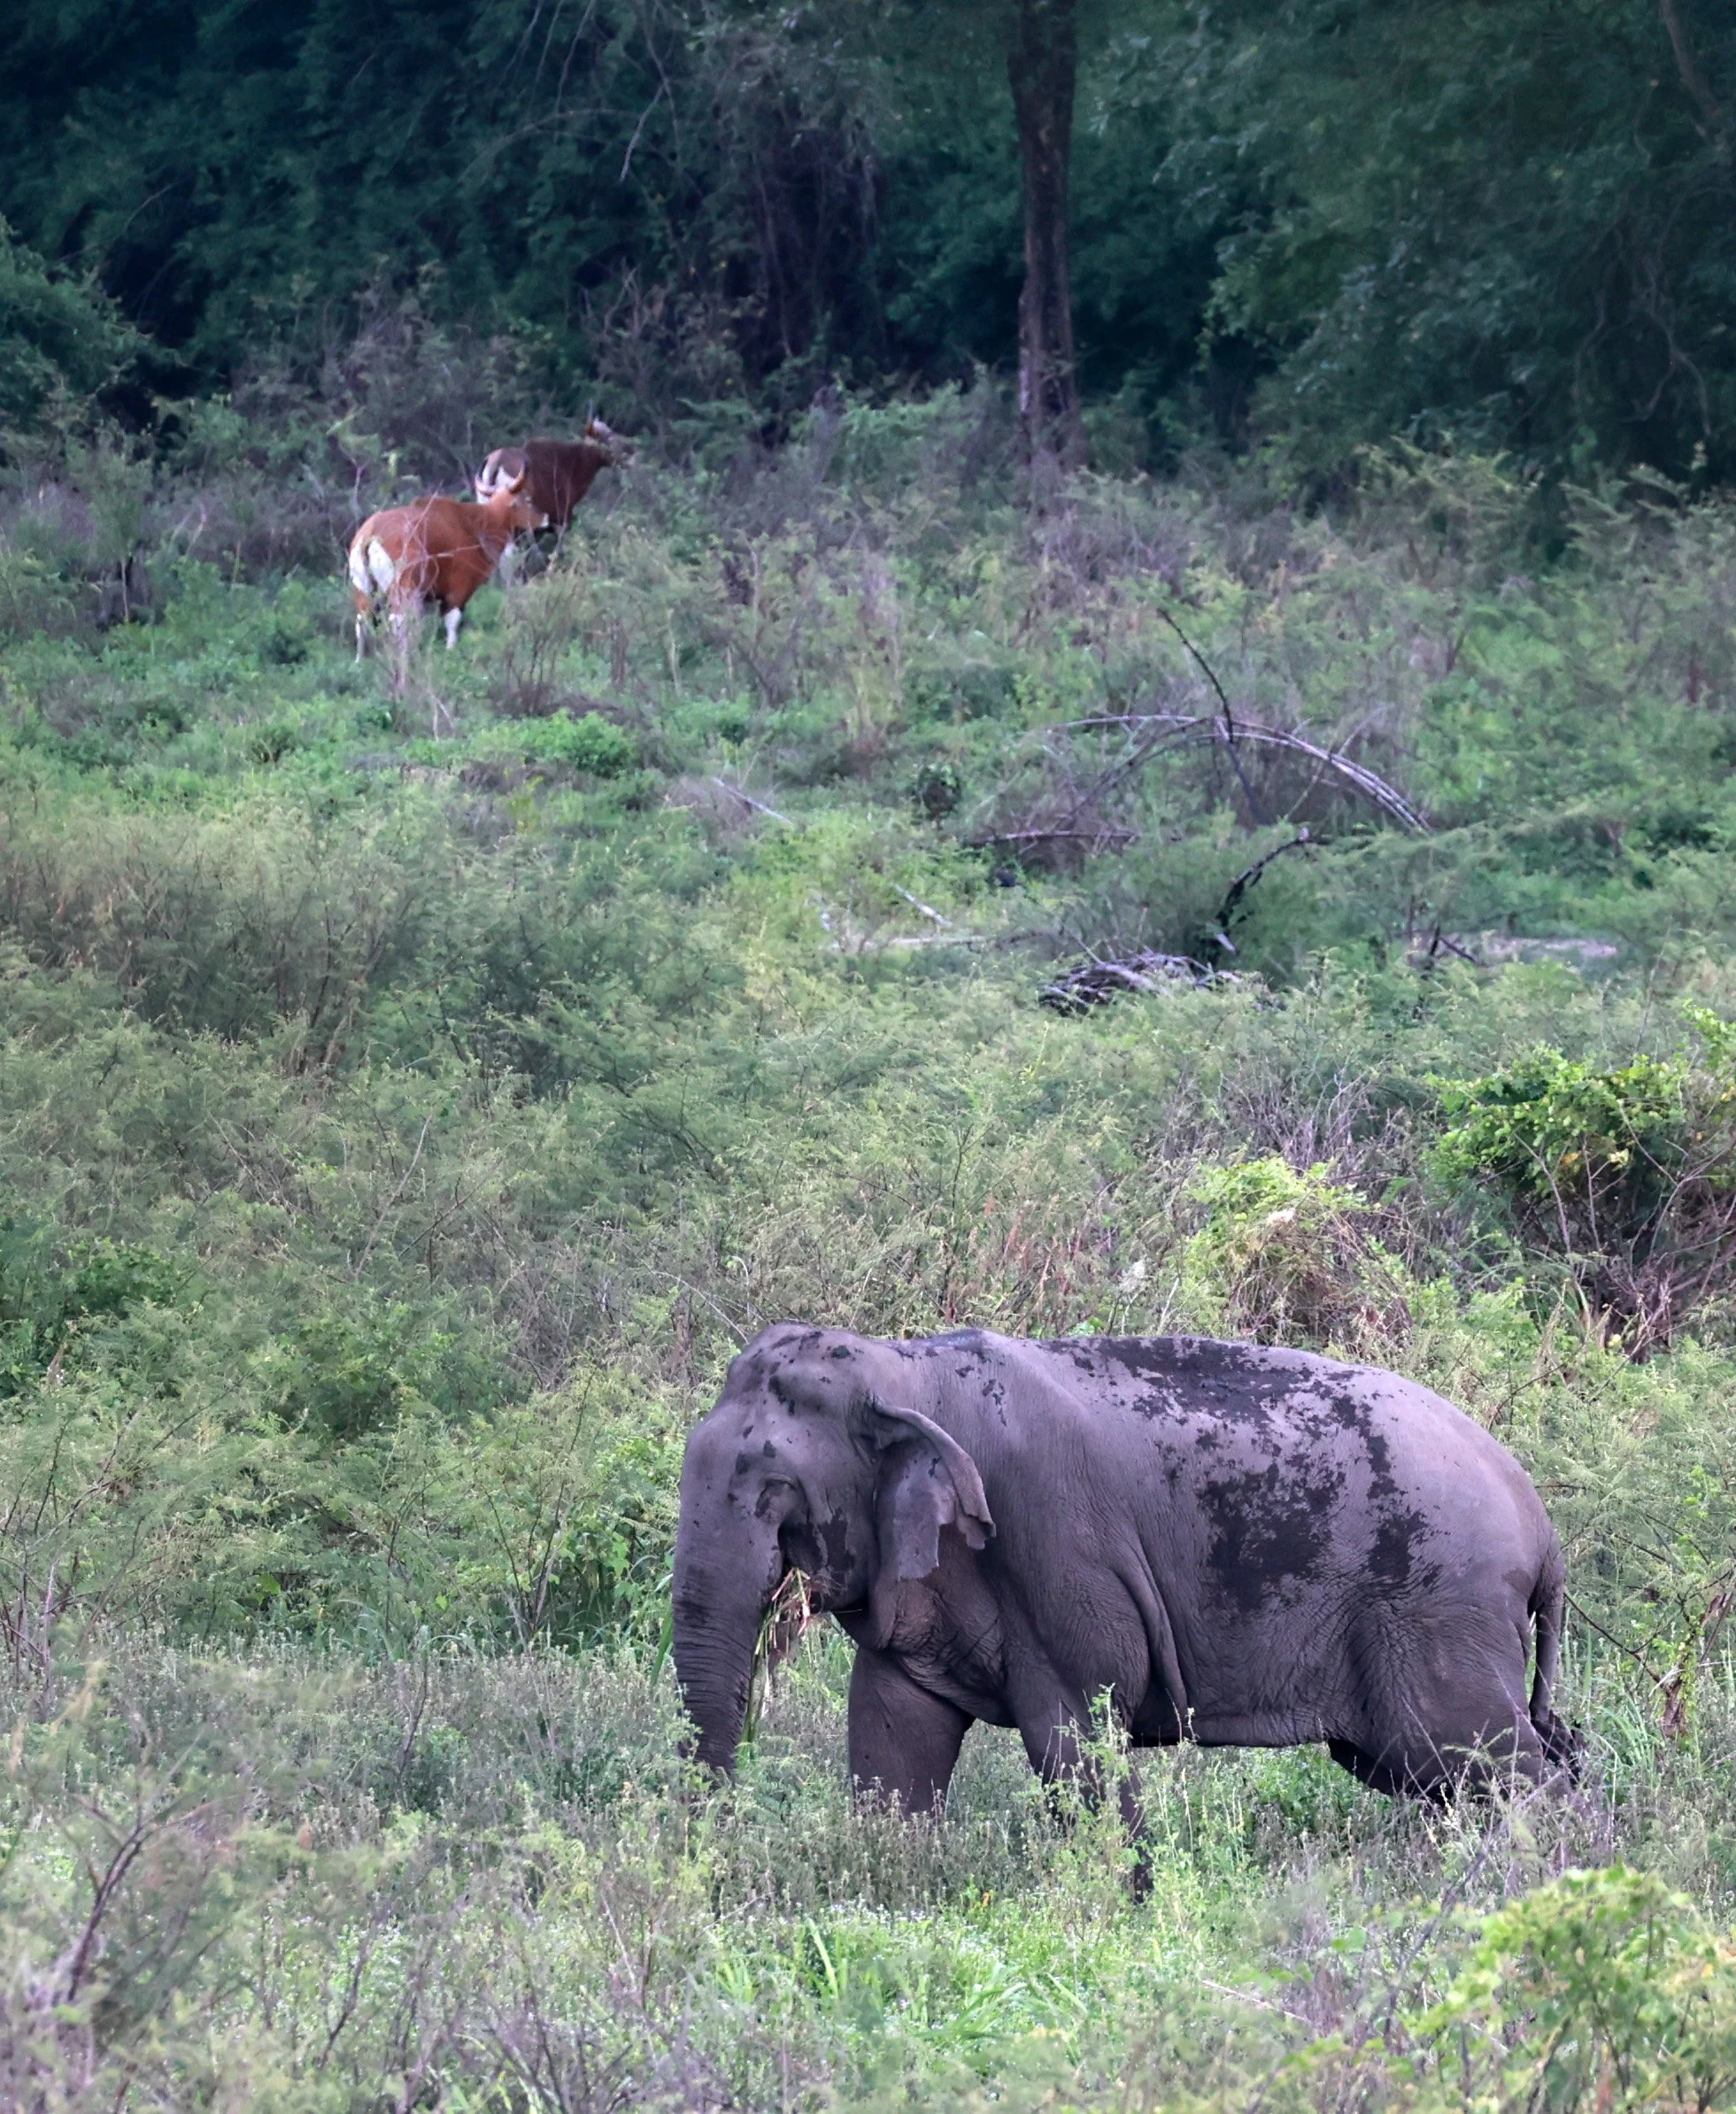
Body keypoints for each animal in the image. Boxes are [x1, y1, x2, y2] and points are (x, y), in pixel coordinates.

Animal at [672, 1323, 1577, 1815]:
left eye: (778, 1497)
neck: (902, 1366)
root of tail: (1542, 1528)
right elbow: (894, 1741)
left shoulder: (1055, 1551)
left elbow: (1076, 1742)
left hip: (1436, 1608)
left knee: (1477, 1760)